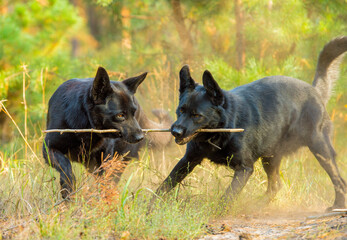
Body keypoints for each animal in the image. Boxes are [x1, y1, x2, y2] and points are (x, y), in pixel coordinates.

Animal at [43, 66, 173, 198]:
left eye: (133, 112)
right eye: (120, 115)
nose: (140, 137)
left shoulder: (105, 158)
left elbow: (103, 180)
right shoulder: (49, 148)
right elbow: (66, 166)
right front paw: (68, 189)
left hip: (118, 160)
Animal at [156, 36, 347, 211]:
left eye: (196, 115)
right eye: (181, 110)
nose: (175, 131)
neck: (222, 128)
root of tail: (315, 91)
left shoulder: (244, 168)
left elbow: (228, 196)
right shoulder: (188, 160)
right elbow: (164, 185)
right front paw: (151, 209)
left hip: (320, 149)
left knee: (339, 181)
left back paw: (337, 205)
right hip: (270, 158)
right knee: (275, 185)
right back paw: (259, 206)